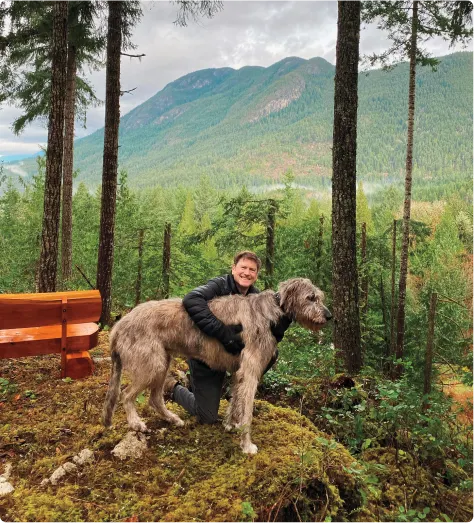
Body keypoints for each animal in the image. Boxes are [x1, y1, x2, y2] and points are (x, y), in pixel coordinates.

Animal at [101, 278, 330, 454]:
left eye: (319, 296)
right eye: (311, 297)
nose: (329, 316)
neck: (273, 311)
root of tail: (119, 325)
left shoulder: (239, 371)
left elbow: (235, 400)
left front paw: (230, 424)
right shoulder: (250, 370)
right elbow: (247, 411)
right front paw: (246, 445)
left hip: (162, 361)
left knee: (154, 398)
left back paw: (172, 418)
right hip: (151, 364)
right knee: (126, 394)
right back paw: (136, 422)